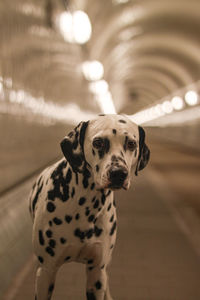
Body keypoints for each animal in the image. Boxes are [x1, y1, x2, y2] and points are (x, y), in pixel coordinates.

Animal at [28, 113, 149, 298]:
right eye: (98, 142)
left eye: (131, 144)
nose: (118, 173)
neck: (86, 206)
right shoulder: (46, 272)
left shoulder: (97, 272)